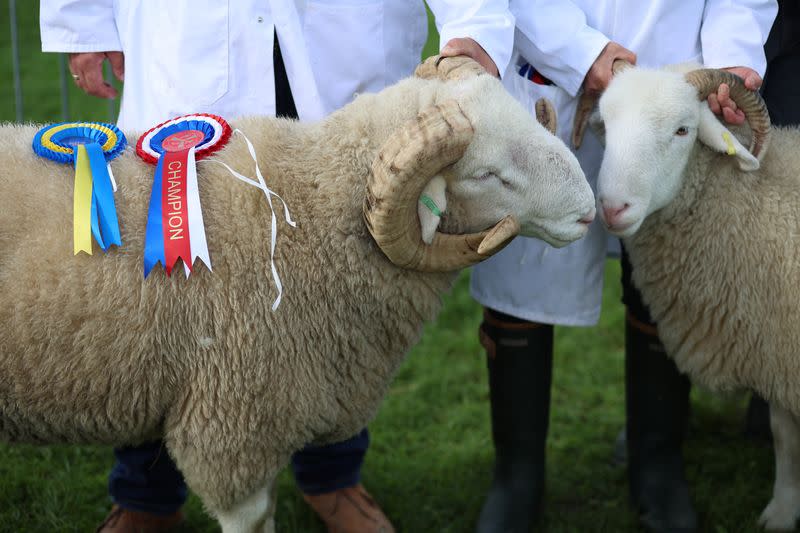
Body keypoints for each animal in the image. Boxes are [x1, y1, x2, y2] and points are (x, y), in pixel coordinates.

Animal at [580, 60, 800, 528]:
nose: (613, 208)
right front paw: (782, 511)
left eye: (683, 130)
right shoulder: (778, 352)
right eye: (605, 125)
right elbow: (784, 436)